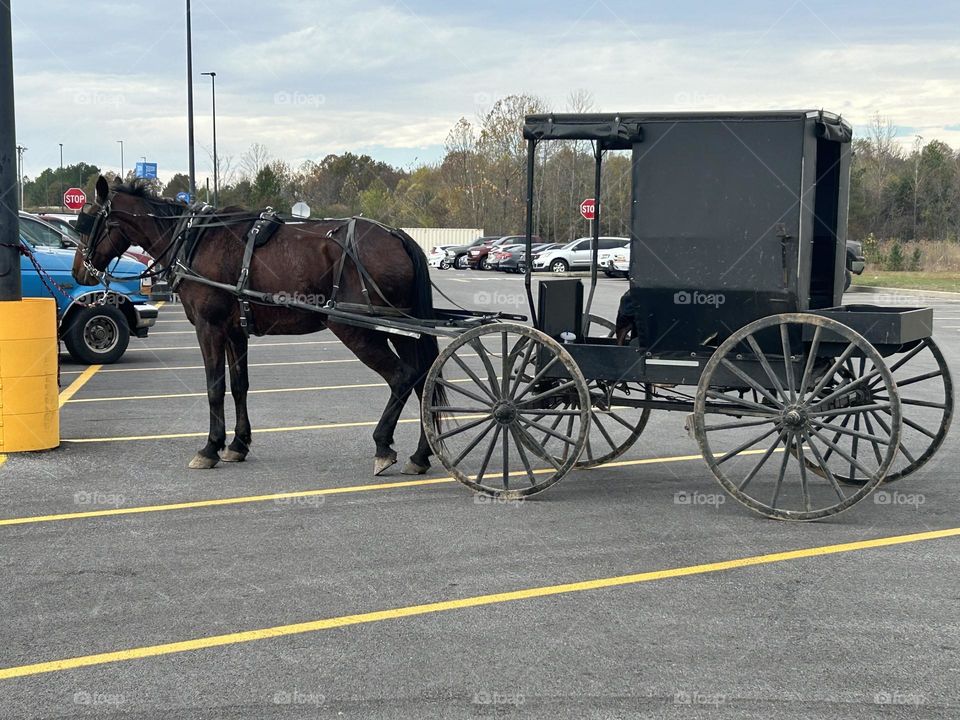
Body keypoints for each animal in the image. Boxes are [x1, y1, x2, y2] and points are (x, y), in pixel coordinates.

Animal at [73, 176, 444, 476]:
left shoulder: (209, 327)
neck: (195, 239)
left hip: (357, 328)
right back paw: (421, 455)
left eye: (87, 223)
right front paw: (237, 444)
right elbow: (239, 385)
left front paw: (210, 448)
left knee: (402, 377)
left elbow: (214, 387)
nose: (79, 271)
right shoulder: (235, 330)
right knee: (422, 379)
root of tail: (396, 235)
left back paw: (383, 445)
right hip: (404, 328)